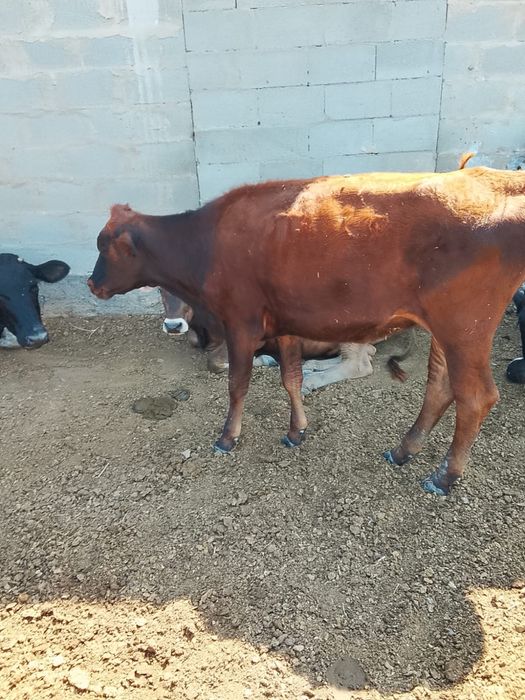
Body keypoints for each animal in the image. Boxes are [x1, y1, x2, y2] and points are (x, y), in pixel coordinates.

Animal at [159, 288, 377, 390]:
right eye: (161, 289)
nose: (172, 325)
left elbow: (212, 362)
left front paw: (265, 359)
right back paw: (312, 365)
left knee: (359, 365)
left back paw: (310, 380)